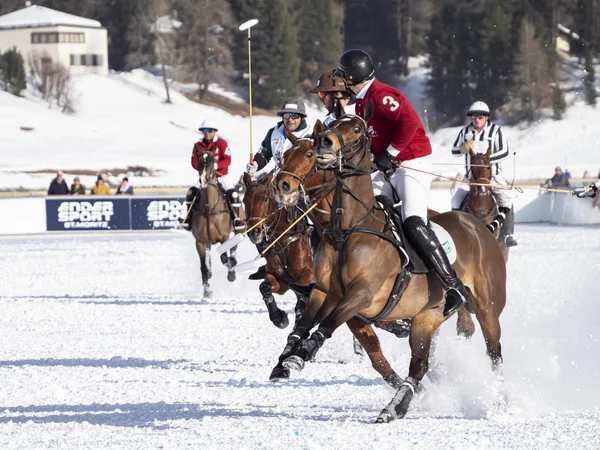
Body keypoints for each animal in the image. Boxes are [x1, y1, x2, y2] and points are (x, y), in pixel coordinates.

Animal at [193, 150, 238, 298]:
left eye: (213, 162)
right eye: (199, 161)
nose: (203, 180)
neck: (209, 208)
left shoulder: (224, 237)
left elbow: (224, 258)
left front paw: (231, 272)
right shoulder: (200, 242)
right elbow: (203, 267)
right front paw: (207, 291)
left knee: (234, 246)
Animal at [243, 171, 404, 388]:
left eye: (266, 199)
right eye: (244, 200)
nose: (255, 233)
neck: (288, 239)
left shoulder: (309, 280)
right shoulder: (281, 279)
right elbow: (266, 287)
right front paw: (279, 319)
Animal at [272, 107, 506, 424]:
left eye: (357, 129)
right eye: (285, 155)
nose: (281, 186)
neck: (346, 229)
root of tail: (480, 227)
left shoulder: (361, 294)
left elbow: (327, 324)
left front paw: (301, 354)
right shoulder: (325, 294)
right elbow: (310, 325)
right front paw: (285, 359)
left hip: (487, 309)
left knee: (493, 351)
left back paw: (498, 401)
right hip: (426, 318)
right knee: (419, 365)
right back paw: (395, 407)